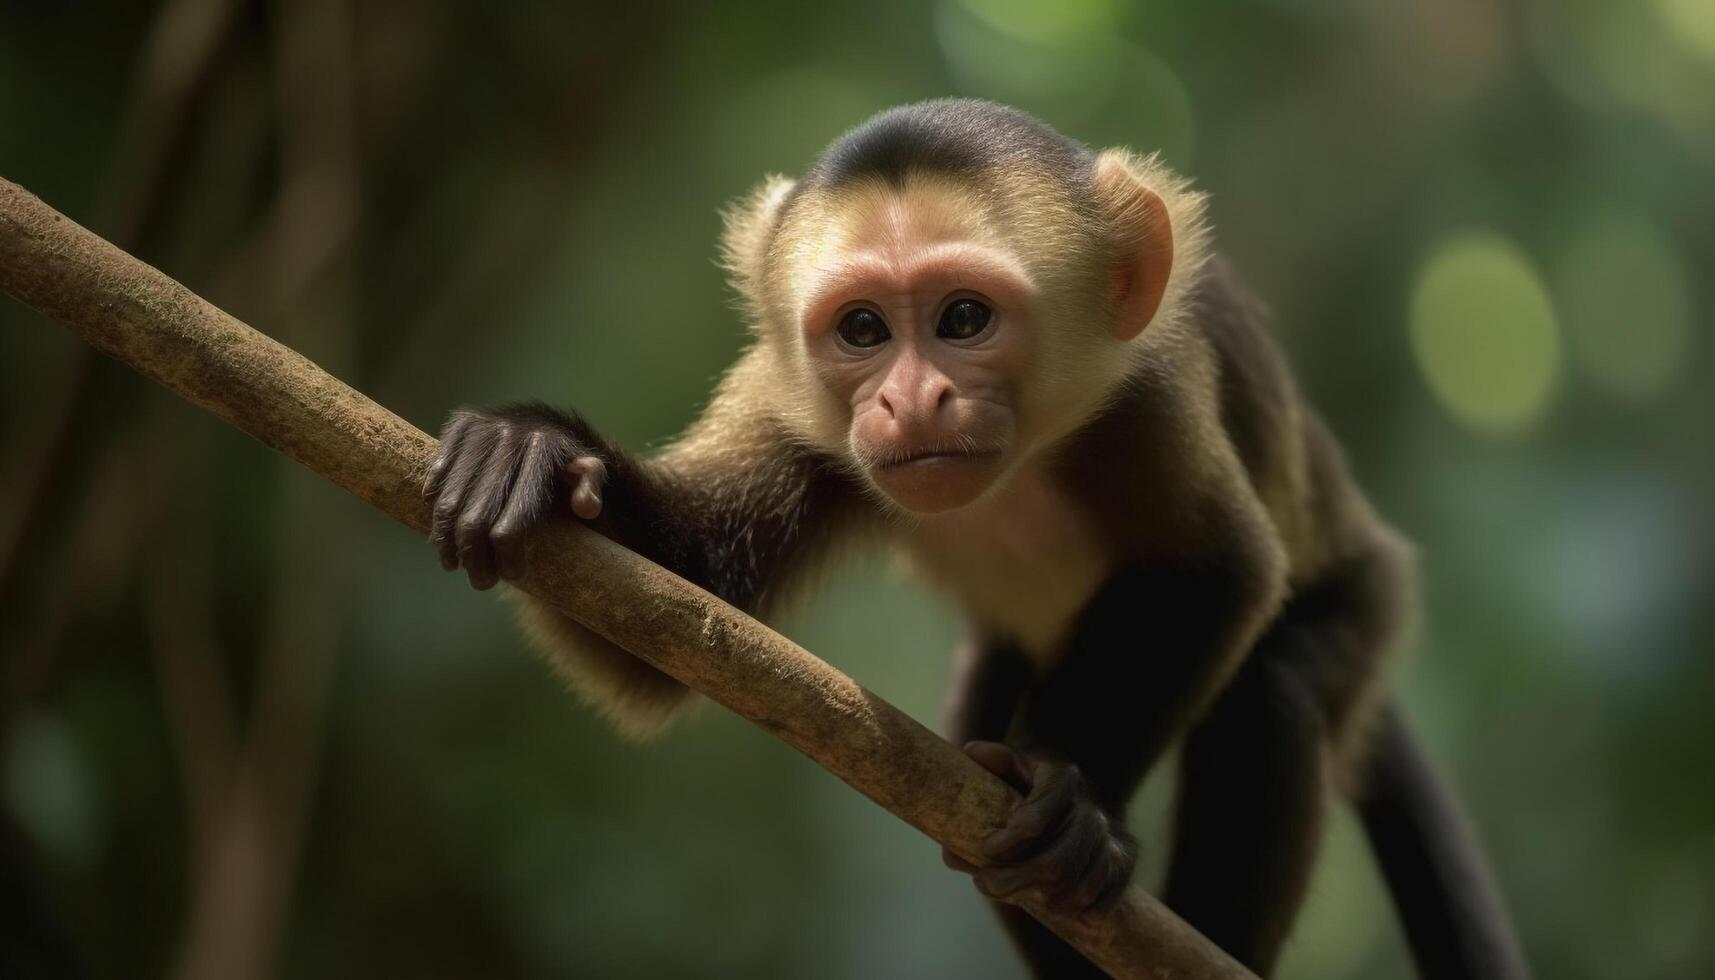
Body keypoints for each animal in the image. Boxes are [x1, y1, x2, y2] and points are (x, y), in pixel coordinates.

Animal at [425, 101, 1529, 980]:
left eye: (962, 318)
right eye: (862, 330)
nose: (912, 399)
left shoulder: (1147, 390)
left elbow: (1219, 569)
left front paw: (1075, 796)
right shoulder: (791, 401)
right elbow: (668, 618)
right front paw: (539, 451)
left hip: (1370, 602)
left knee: (1285, 675)